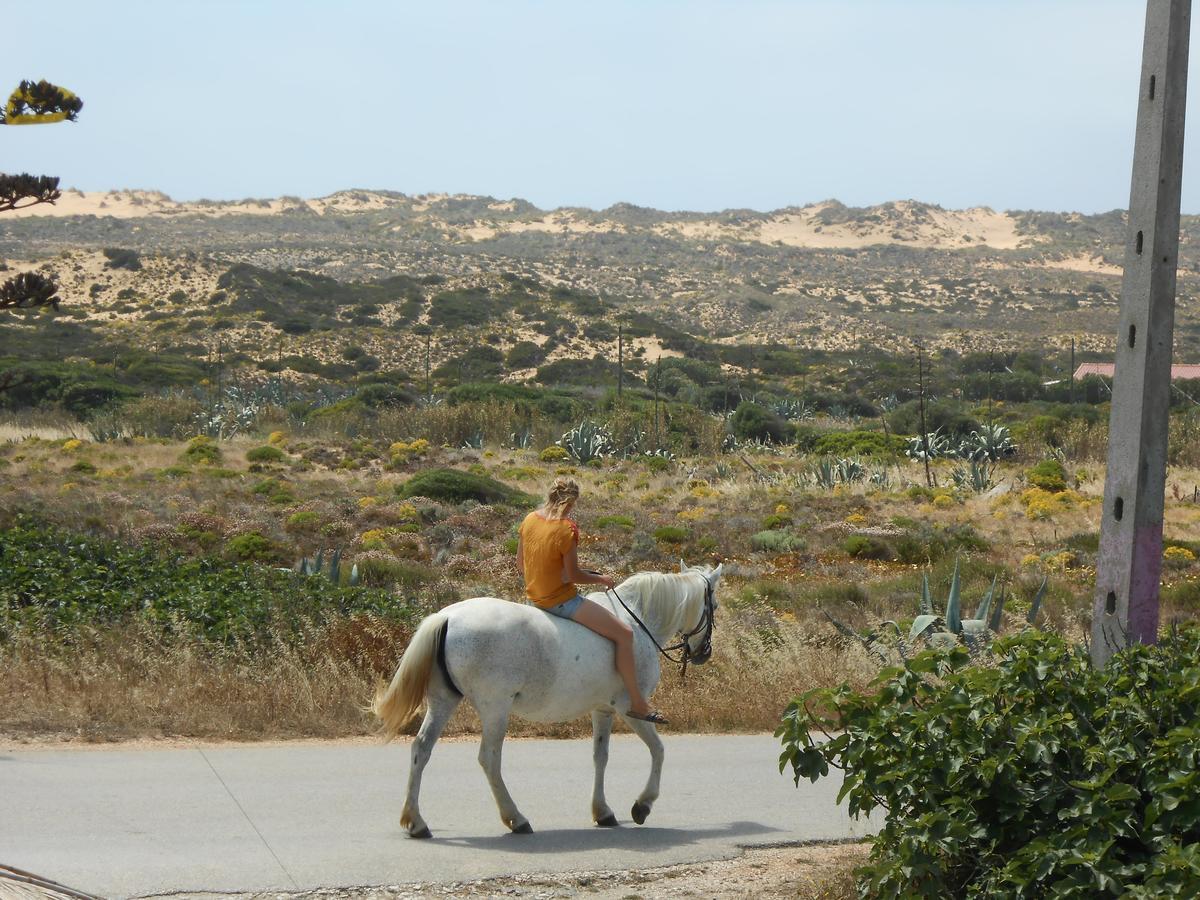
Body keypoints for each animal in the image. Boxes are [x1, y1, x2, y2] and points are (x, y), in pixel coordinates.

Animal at [369, 561, 720, 844]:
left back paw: (416, 822)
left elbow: (600, 757)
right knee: (489, 759)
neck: (637, 619)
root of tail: (448, 616)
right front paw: (642, 805)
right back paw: (516, 818)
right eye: (714, 604)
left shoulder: (602, 710)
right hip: (495, 709)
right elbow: (658, 751)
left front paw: (602, 811)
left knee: (422, 749)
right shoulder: (630, 710)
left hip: (443, 701)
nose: (703, 654)